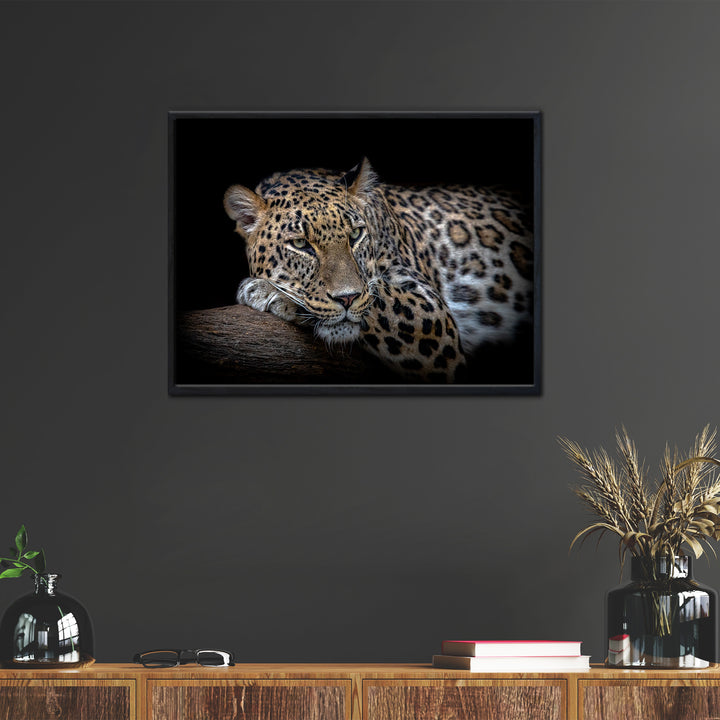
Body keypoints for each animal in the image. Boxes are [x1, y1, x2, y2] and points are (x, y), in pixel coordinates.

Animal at [223, 158, 534, 383]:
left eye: (356, 234)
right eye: (300, 243)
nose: (346, 299)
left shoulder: (432, 314)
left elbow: (378, 297)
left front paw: (269, 291)